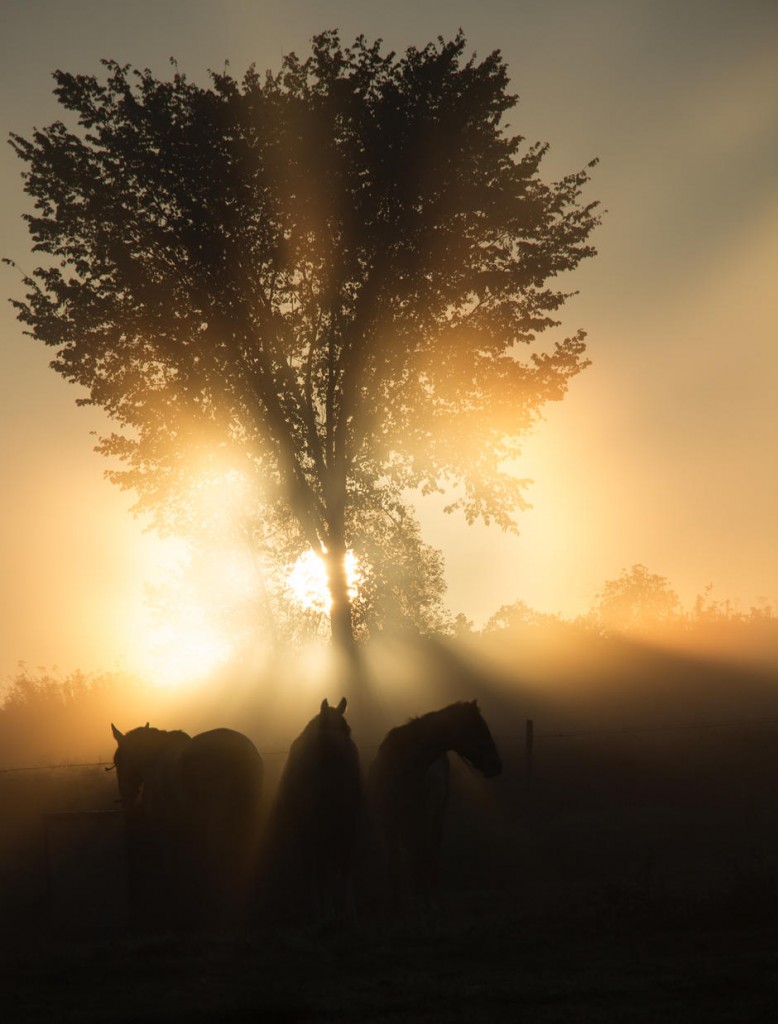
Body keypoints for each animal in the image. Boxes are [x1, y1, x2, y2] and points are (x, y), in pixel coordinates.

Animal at [268, 696, 362, 921]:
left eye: (348, 730)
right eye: (326, 728)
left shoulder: (348, 823)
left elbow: (345, 865)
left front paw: (349, 909)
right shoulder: (312, 827)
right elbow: (320, 870)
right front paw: (326, 910)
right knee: (313, 865)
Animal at [368, 700, 501, 909]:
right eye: (478, 728)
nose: (497, 764)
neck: (405, 769)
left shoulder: (423, 820)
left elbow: (423, 855)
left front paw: (427, 902)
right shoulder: (388, 823)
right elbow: (395, 861)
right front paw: (396, 902)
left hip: (435, 818)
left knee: (431, 851)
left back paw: (431, 894)